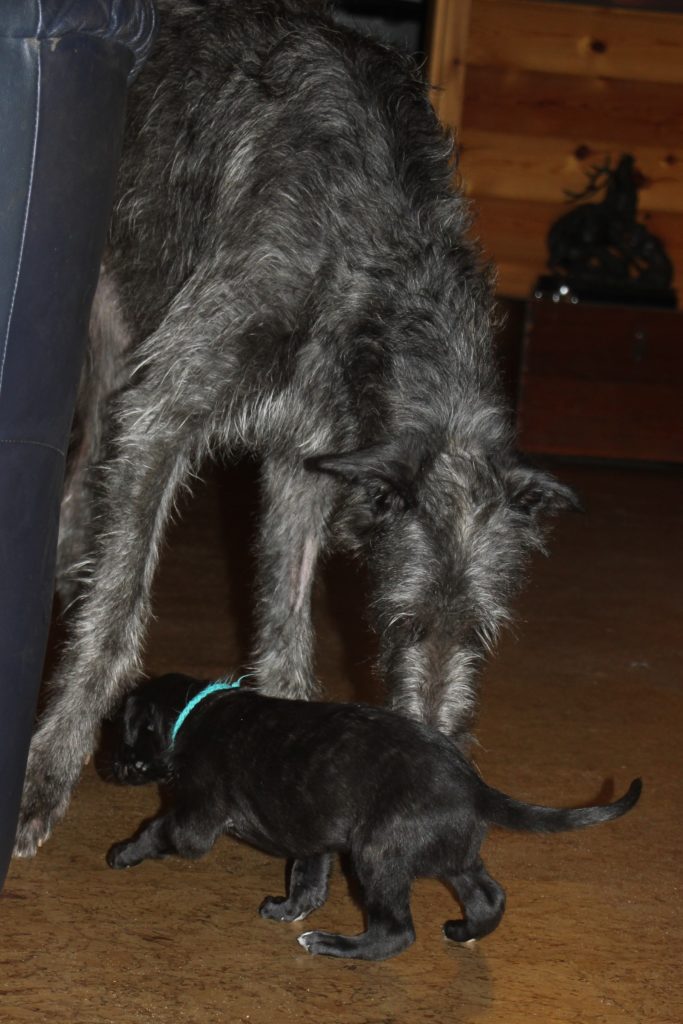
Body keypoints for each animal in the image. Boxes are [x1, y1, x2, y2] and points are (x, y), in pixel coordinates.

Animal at [15, 0, 575, 858]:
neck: (384, 253)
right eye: (397, 622)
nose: (438, 756)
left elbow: (285, 618)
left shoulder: (307, 461)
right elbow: (117, 613)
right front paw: (46, 774)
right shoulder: (165, 407)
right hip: (107, 349)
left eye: (481, 636)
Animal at [105, 674, 641, 961]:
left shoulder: (195, 821)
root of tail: (475, 786)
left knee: (396, 932)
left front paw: (124, 852)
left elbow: (157, 828)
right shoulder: (314, 837)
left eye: (123, 731)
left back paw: (331, 944)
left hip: (378, 855)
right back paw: (462, 931)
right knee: (488, 896)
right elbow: (307, 880)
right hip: (448, 853)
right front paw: (287, 908)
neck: (193, 715)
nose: (107, 765)